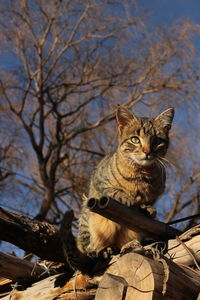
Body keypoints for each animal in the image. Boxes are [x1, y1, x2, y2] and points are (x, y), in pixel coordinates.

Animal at [76, 105, 174, 258]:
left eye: (157, 141)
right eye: (135, 139)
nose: (147, 152)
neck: (141, 174)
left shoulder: (156, 194)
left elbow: (147, 202)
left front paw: (147, 208)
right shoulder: (100, 182)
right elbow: (115, 191)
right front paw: (128, 199)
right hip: (89, 221)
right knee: (90, 246)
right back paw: (104, 249)